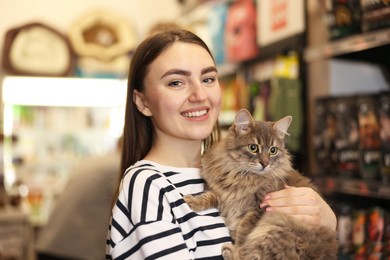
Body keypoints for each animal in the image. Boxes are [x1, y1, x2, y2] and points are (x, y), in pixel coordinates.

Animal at [184, 109, 340, 260]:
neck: (242, 177)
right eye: (253, 147)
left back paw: (230, 251)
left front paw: (238, 244)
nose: (265, 163)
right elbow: (209, 196)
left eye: (273, 150)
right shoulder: (223, 193)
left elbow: (243, 230)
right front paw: (192, 201)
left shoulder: (258, 209)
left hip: (275, 225)